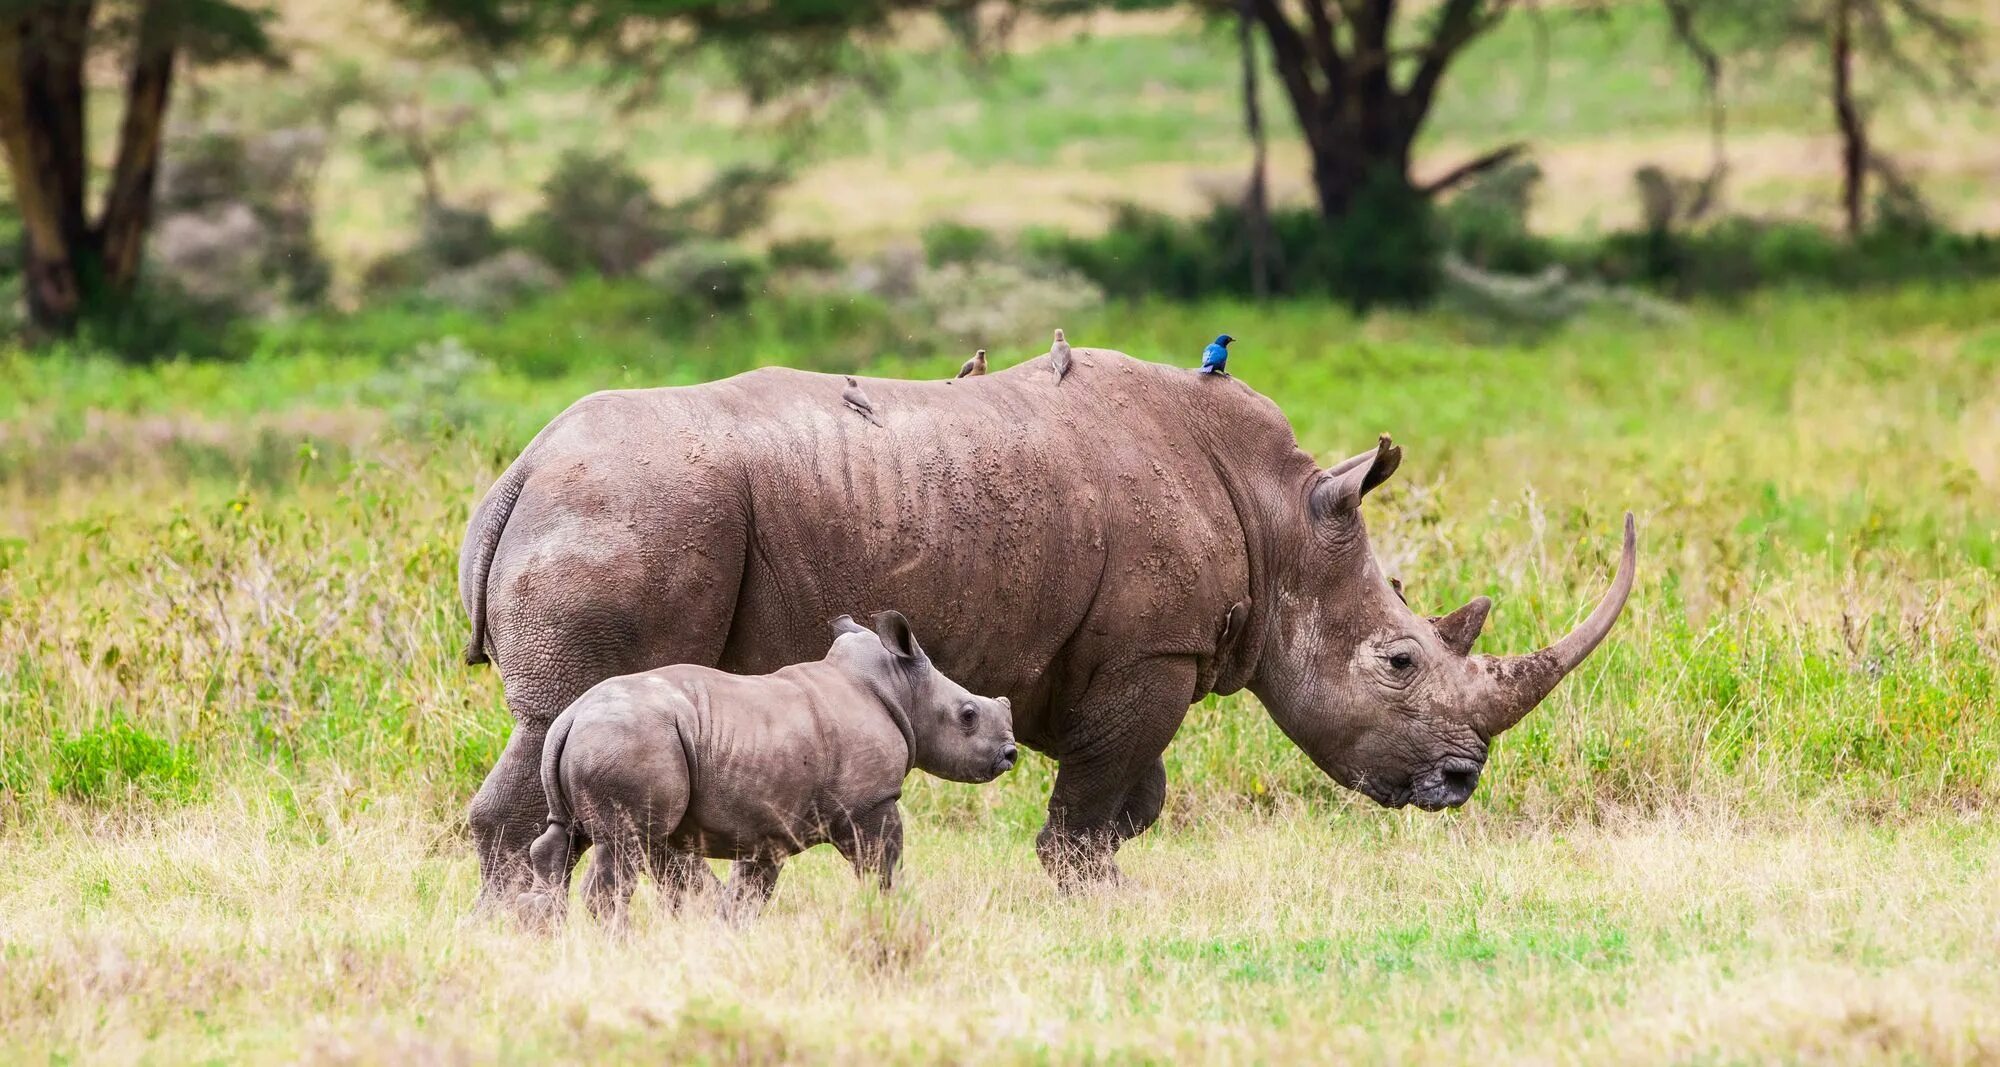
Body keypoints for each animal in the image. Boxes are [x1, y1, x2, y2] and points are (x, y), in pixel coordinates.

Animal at [520, 611, 1016, 927]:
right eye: (968, 715)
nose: (1010, 754)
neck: (898, 688)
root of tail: (570, 718)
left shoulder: (768, 824)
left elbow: (748, 892)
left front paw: (728, 936)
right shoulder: (869, 802)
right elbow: (883, 866)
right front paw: (895, 913)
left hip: (601, 740)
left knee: (566, 839)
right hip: (629, 740)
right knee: (626, 844)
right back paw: (619, 944)